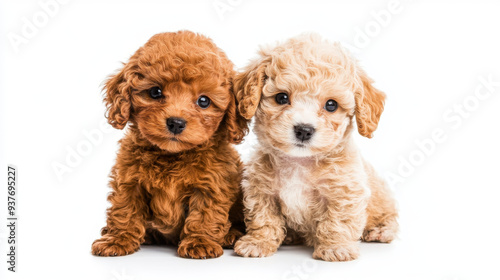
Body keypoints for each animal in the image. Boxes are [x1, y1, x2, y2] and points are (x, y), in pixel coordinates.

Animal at [92, 30, 248, 258]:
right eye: (155, 92)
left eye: (203, 101)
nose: (176, 122)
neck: (171, 155)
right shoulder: (129, 180)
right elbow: (124, 209)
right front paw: (117, 239)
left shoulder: (211, 184)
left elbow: (204, 215)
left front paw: (199, 242)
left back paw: (231, 235)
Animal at [233, 34, 398, 262]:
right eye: (282, 97)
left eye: (331, 105)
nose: (304, 130)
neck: (299, 161)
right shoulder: (261, 190)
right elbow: (263, 218)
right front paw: (257, 243)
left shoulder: (345, 191)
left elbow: (337, 221)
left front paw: (335, 248)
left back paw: (380, 231)